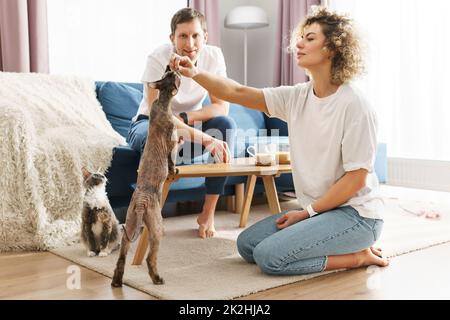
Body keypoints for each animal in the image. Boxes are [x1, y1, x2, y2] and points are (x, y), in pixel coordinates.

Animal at [111, 69, 181, 284]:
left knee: (122, 255)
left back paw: (116, 281)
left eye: (167, 73)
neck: (163, 102)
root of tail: (141, 201)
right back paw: (157, 279)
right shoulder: (173, 142)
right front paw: (175, 170)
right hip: (157, 227)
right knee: (151, 257)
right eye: (173, 76)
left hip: (131, 222)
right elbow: (172, 161)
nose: (173, 67)